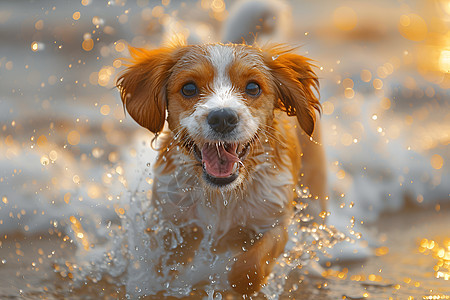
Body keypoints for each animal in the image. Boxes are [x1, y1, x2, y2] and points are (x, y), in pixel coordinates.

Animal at [117, 40, 326, 296]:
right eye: (188, 88)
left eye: (253, 87)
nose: (223, 118)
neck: (222, 196)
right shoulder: (172, 218)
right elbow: (164, 264)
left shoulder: (274, 218)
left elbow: (250, 268)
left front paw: (230, 281)